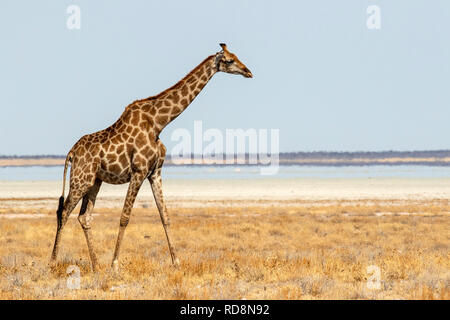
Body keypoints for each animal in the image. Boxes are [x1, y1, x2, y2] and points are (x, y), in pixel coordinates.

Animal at [50, 43, 253, 272]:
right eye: (229, 60)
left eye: (236, 55)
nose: (248, 72)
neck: (158, 123)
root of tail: (71, 153)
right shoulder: (139, 171)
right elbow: (125, 217)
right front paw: (115, 264)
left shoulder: (155, 172)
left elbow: (165, 215)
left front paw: (176, 262)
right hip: (80, 179)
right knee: (63, 212)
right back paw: (53, 261)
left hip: (94, 181)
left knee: (84, 217)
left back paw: (96, 265)